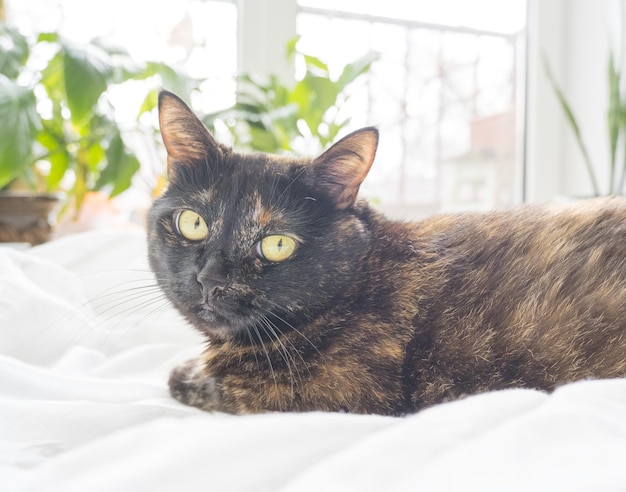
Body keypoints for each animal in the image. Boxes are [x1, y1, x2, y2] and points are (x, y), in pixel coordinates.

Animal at [149, 89, 624, 416]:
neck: (361, 282)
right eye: (193, 223)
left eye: (277, 244)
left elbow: (202, 383)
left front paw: (187, 372)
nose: (210, 279)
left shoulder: (333, 395)